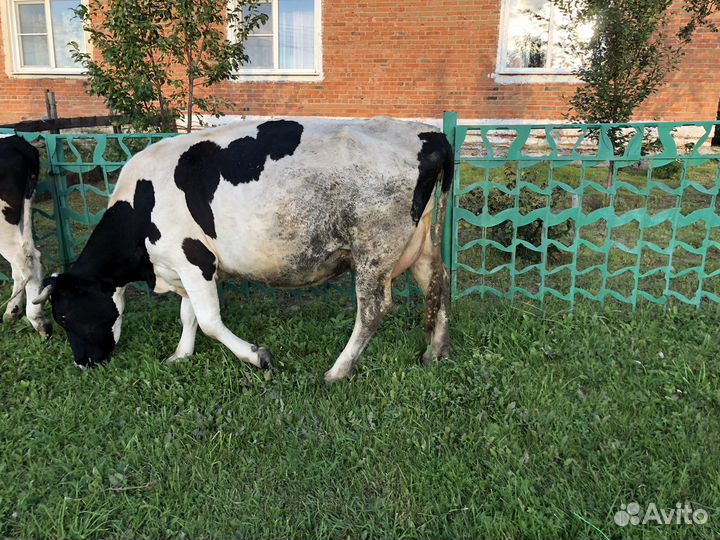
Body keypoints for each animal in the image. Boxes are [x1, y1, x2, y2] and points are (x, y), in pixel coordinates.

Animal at [34, 117, 452, 381]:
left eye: (64, 316)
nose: (83, 364)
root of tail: (428, 133)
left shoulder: (194, 258)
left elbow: (208, 320)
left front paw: (258, 357)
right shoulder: (184, 264)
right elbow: (188, 315)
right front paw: (180, 355)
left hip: (373, 251)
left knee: (373, 310)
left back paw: (338, 370)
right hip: (419, 245)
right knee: (440, 283)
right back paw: (435, 352)